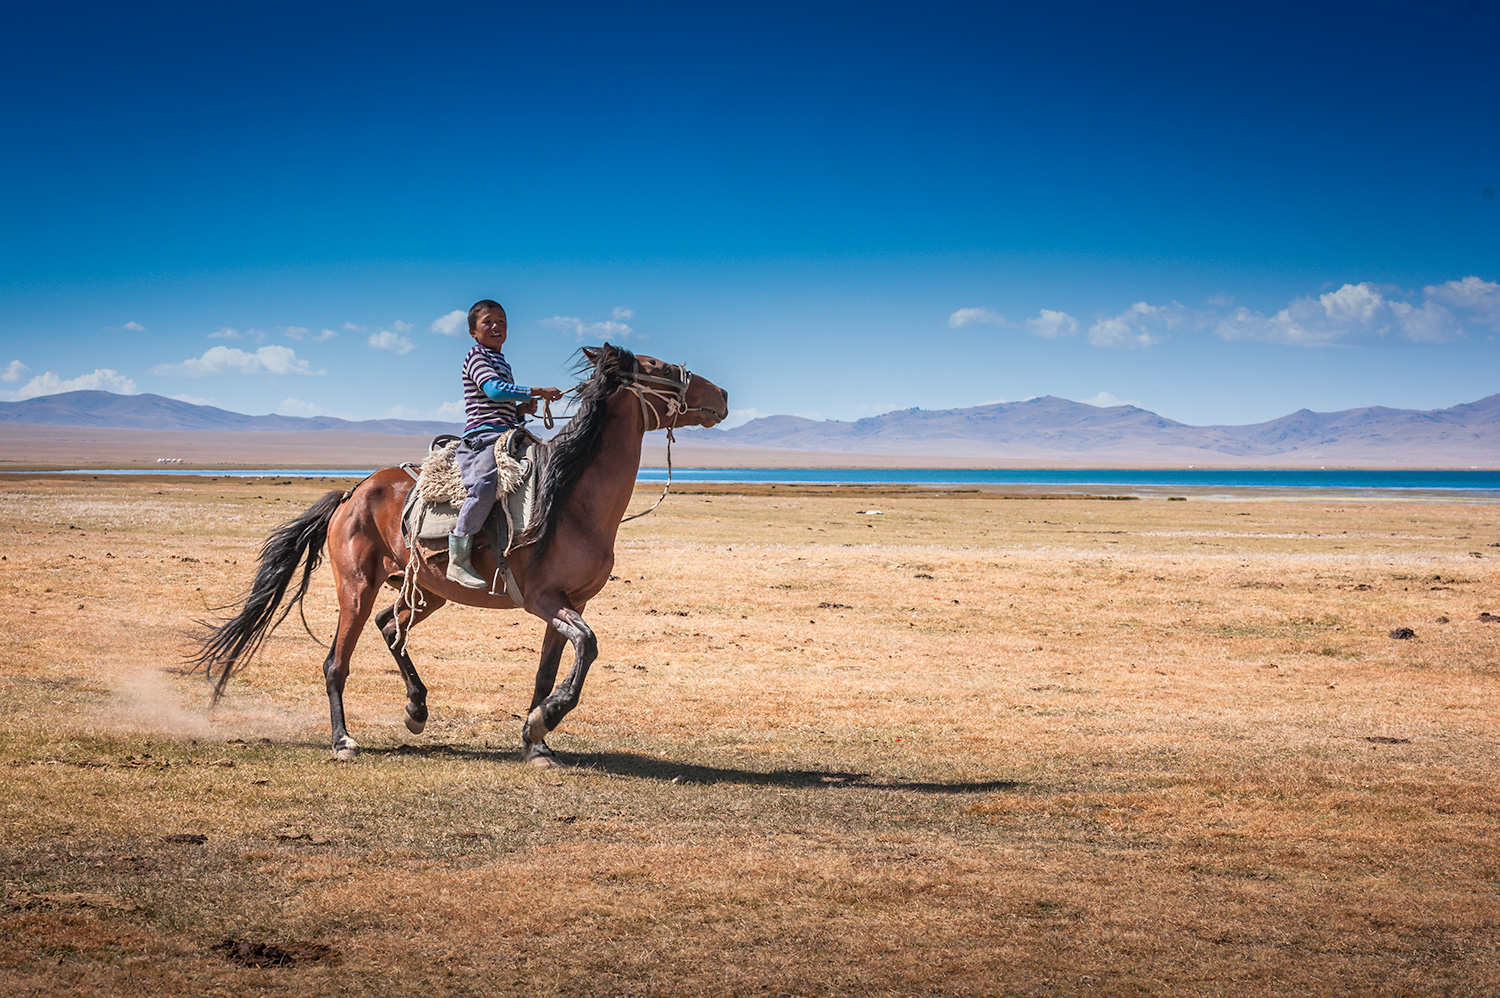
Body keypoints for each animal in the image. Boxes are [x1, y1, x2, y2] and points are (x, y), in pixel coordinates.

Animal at [193, 345, 732, 762]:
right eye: (659, 365)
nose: (722, 396)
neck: (570, 500)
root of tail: (353, 492)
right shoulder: (545, 599)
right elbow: (589, 645)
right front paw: (544, 721)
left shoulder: (571, 602)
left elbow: (552, 668)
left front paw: (537, 741)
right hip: (357, 587)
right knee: (336, 663)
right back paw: (343, 740)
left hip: (426, 590)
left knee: (389, 625)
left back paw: (417, 708)